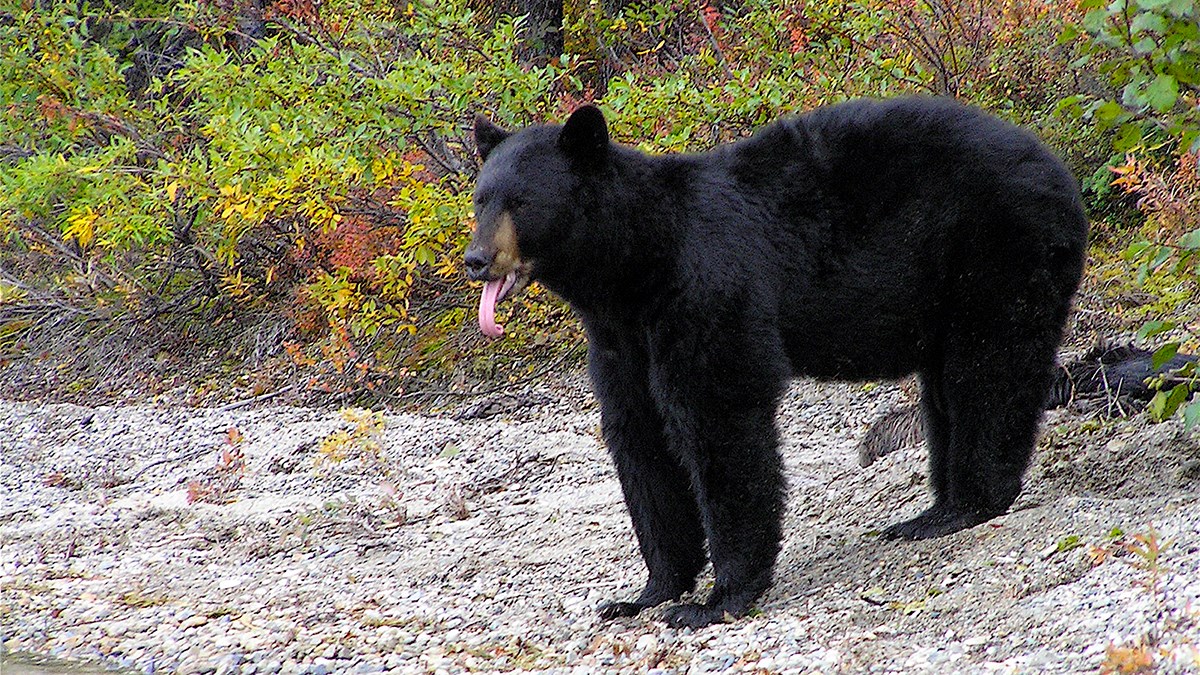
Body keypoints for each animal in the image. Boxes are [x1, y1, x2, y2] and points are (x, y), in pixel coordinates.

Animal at [463, 98, 1094, 624]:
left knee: (989, 370)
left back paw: (971, 503)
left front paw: (717, 599)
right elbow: (639, 438)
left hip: (994, 252)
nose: (476, 259)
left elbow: (720, 418)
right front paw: (647, 591)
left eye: (521, 201)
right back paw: (932, 513)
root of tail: (1059, 170)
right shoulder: (622, 339)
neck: (634, 266)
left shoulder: (706, 293)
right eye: (480, 198)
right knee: (948, 388)